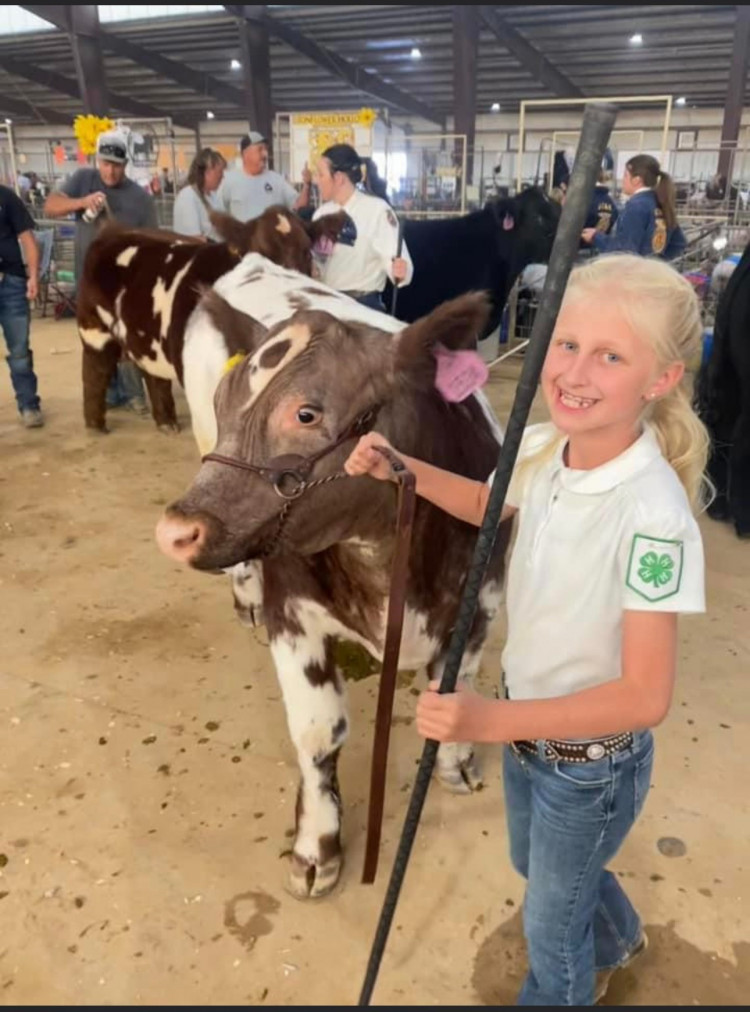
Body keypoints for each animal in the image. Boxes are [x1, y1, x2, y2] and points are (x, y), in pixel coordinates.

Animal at [76, 204, 347, 443]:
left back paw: (166, 422)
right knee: (95, 371)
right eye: (258, 253)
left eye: (307, 252)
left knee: (153, 375)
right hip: (94, 329)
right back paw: (95, 426)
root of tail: (114, 229)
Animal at [155, 255, 511, 898]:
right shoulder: (293, 615)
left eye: (307, 412)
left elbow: (457, 685)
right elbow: (318, 733)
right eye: (223, 403)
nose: (175, 530)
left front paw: (457, 762)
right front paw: (316, 846)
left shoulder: (483, 600)